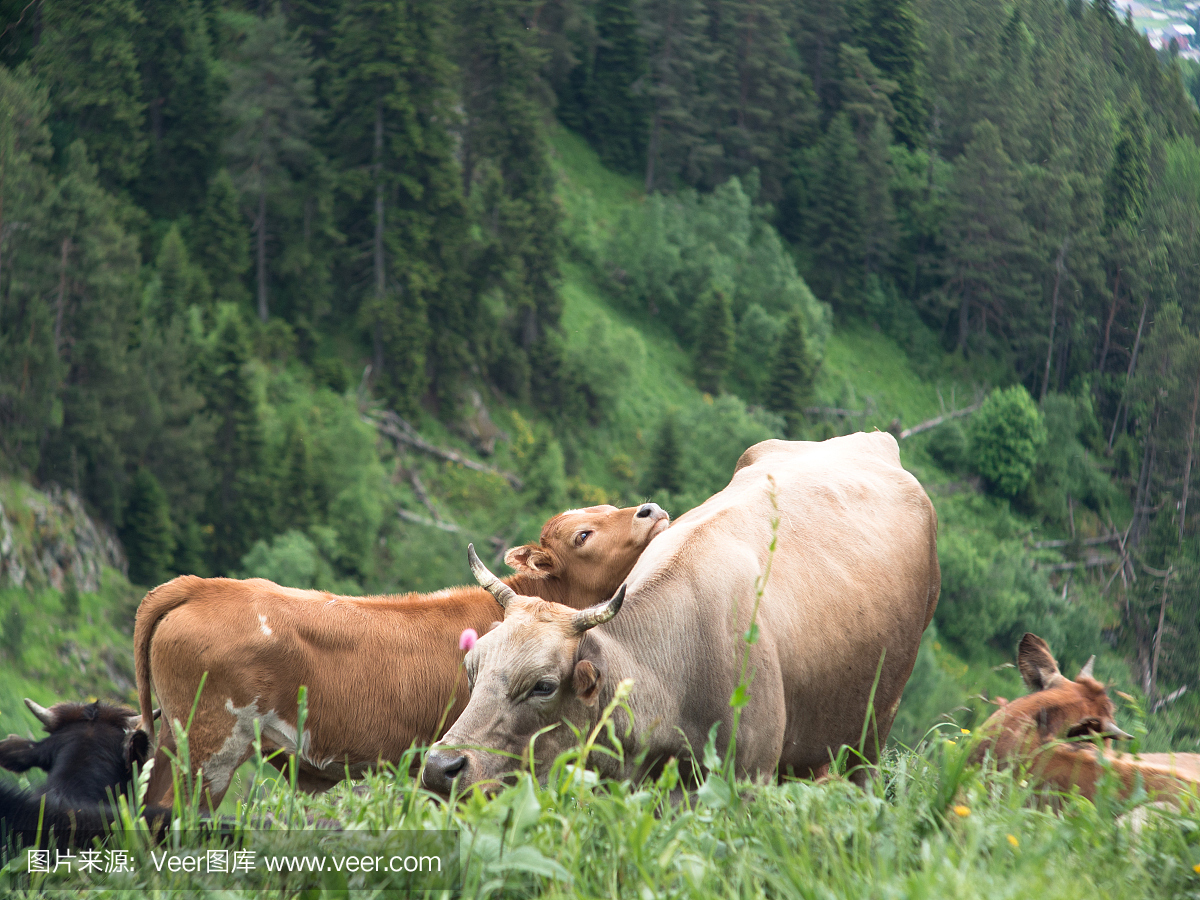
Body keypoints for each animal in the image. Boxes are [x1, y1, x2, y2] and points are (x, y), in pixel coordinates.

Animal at [427, 436, 940, 796]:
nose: (439, 767)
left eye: (543, 686)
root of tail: (871, 438)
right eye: (472, 668)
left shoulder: (747, 779)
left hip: (873, 729)